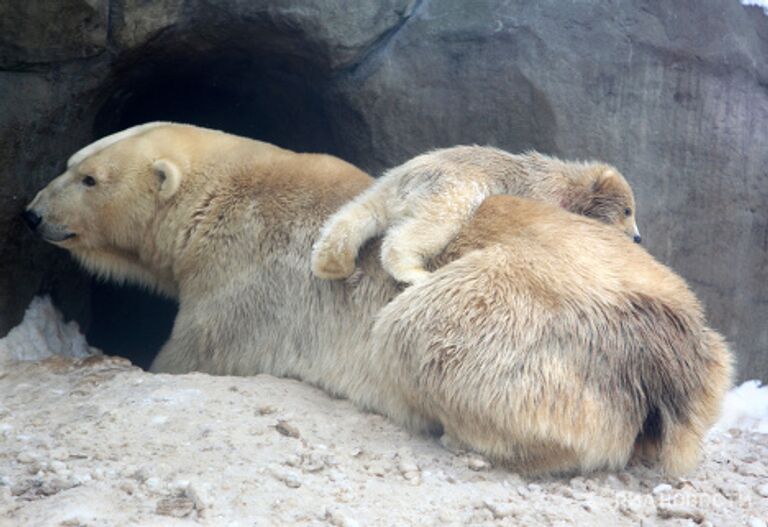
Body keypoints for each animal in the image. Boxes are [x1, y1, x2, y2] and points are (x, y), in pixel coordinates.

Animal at [308, 145, 640, 284]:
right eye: (628, 210)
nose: (638, 237)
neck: (567, 183)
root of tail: (405, 176)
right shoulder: (542, 192)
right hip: (454, 185)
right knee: (433, 224)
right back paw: (413, 272)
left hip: (387, 192)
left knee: (354, 215)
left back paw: (334, 265)